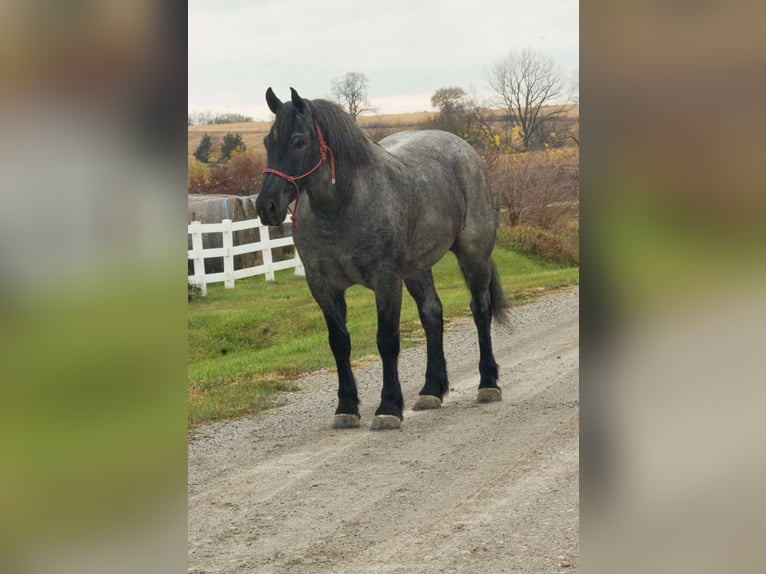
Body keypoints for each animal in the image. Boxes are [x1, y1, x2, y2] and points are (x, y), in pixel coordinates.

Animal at [256, 87, 508, 430]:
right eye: (267, 142)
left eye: (298, 141)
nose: (266, 206)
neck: (342, 205)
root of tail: (465, 149)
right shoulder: (322, 286)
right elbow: (339, 342)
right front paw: (347, 407)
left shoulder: (385, 279)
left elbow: (387, 339)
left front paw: (388, 407)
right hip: (417, 268)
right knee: (432, 314)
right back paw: (431, 390)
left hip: (474, 255)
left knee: (480, 310)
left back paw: (488, 383)